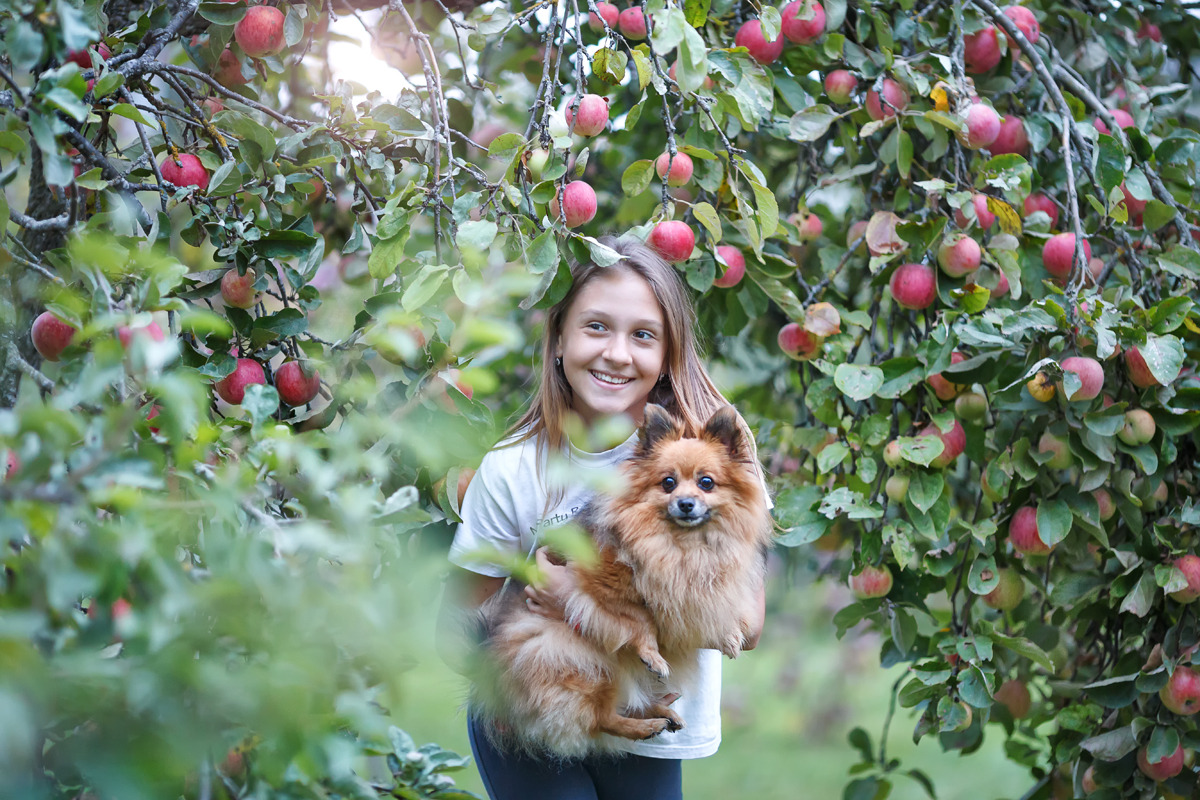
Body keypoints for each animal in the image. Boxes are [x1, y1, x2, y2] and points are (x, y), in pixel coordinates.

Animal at [463, 402, 772, 762]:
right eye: (668, 483)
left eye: (706, 483)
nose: (685, 503)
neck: (682, 545)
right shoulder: (601, 585)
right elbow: (639, 620)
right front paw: (653, 654)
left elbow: (706, 611)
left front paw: (729, 635)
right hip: (585, 662)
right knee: (600, 719)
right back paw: (646, 725)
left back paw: (659, 713)